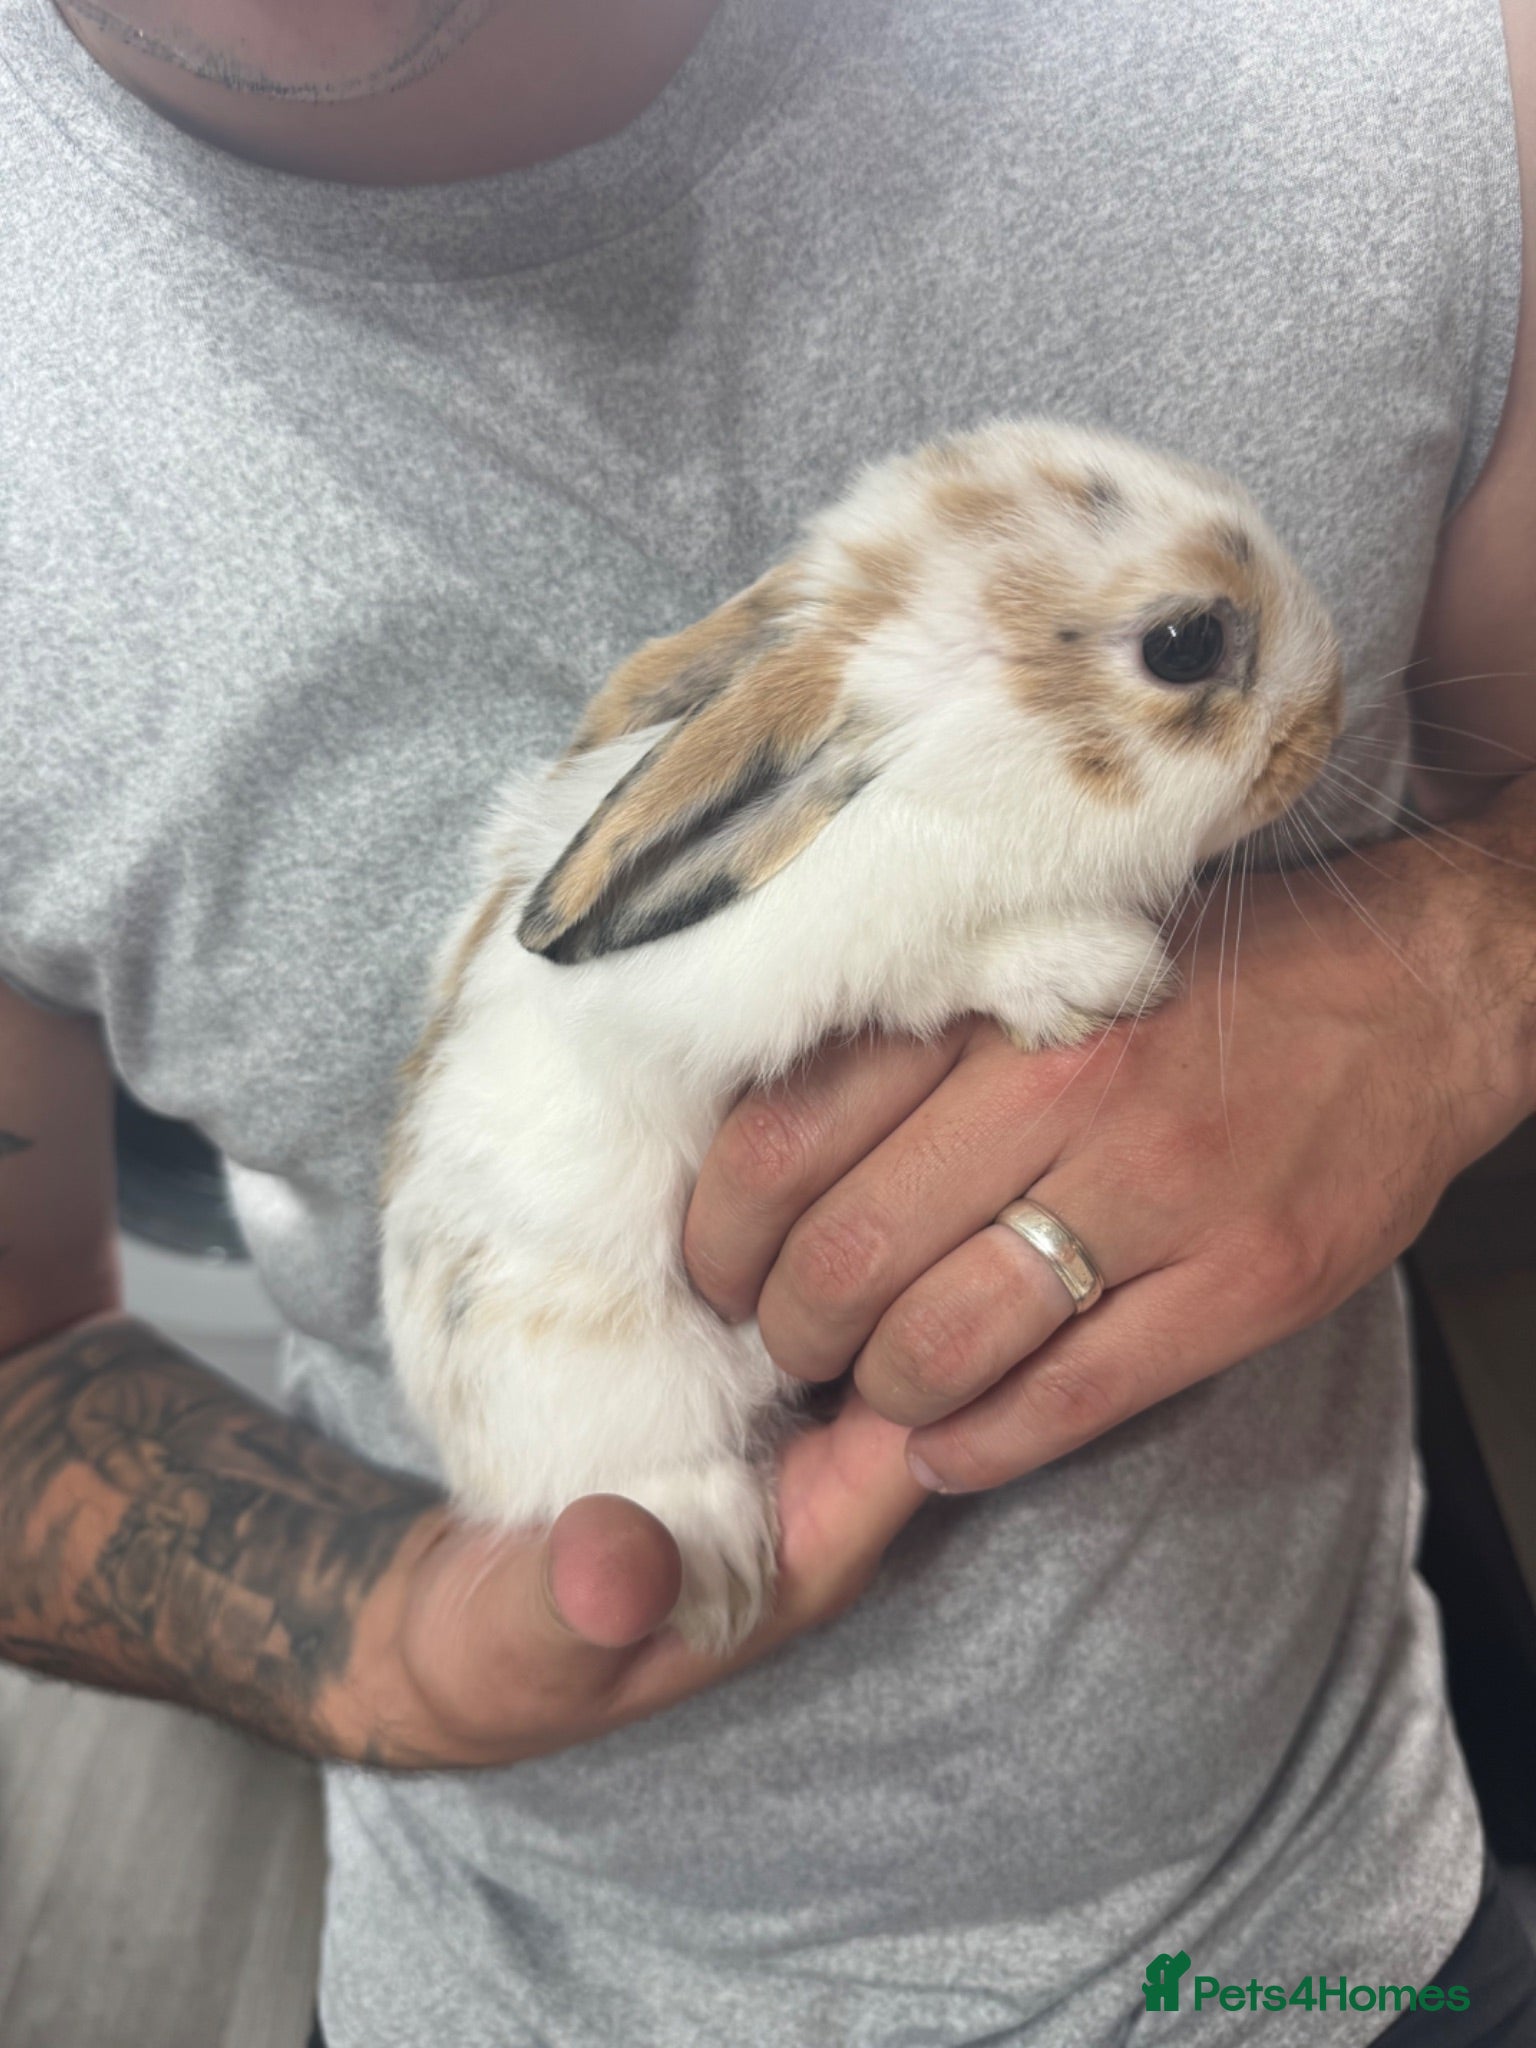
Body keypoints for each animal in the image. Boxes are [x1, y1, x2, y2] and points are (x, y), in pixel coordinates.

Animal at [380, 418, 1343, 1655]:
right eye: (1186, 643)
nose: (1334, 708)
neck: (947, 768)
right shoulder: (797, 959)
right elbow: (942, 964)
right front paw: (1096, 974)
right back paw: (715, 1567)